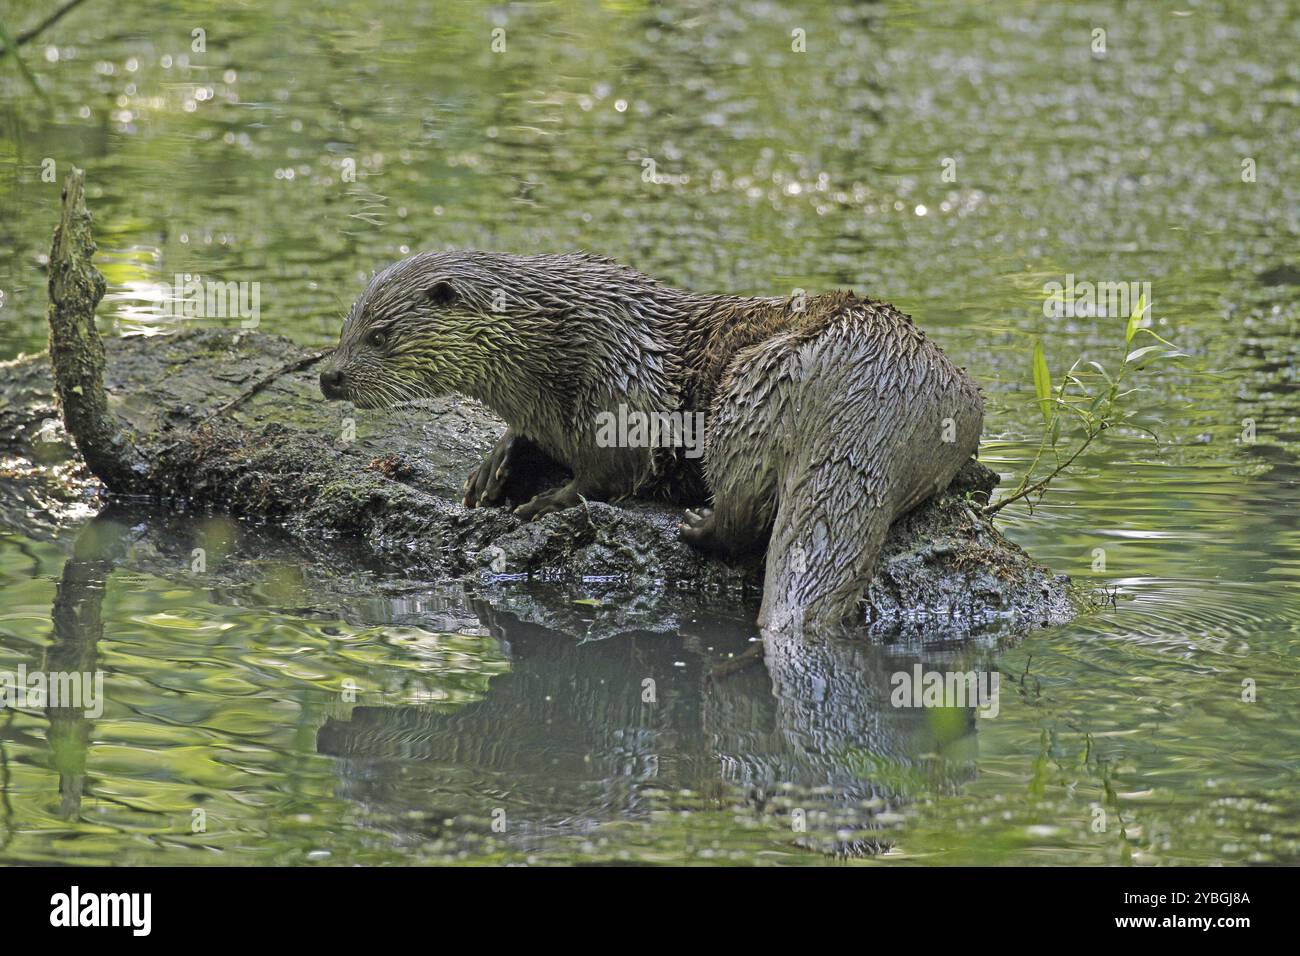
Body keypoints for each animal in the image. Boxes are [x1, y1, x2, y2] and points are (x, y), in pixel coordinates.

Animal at [322, 251, 982, 632]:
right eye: (345, 327)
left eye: (379, 336)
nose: (329, 376)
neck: (550, 348)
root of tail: (878, 374)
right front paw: (493, 468)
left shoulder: (620, 383)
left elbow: (612, 473)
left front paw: (543, 503)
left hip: (751, 385)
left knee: (747, 508)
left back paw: (699, 526)